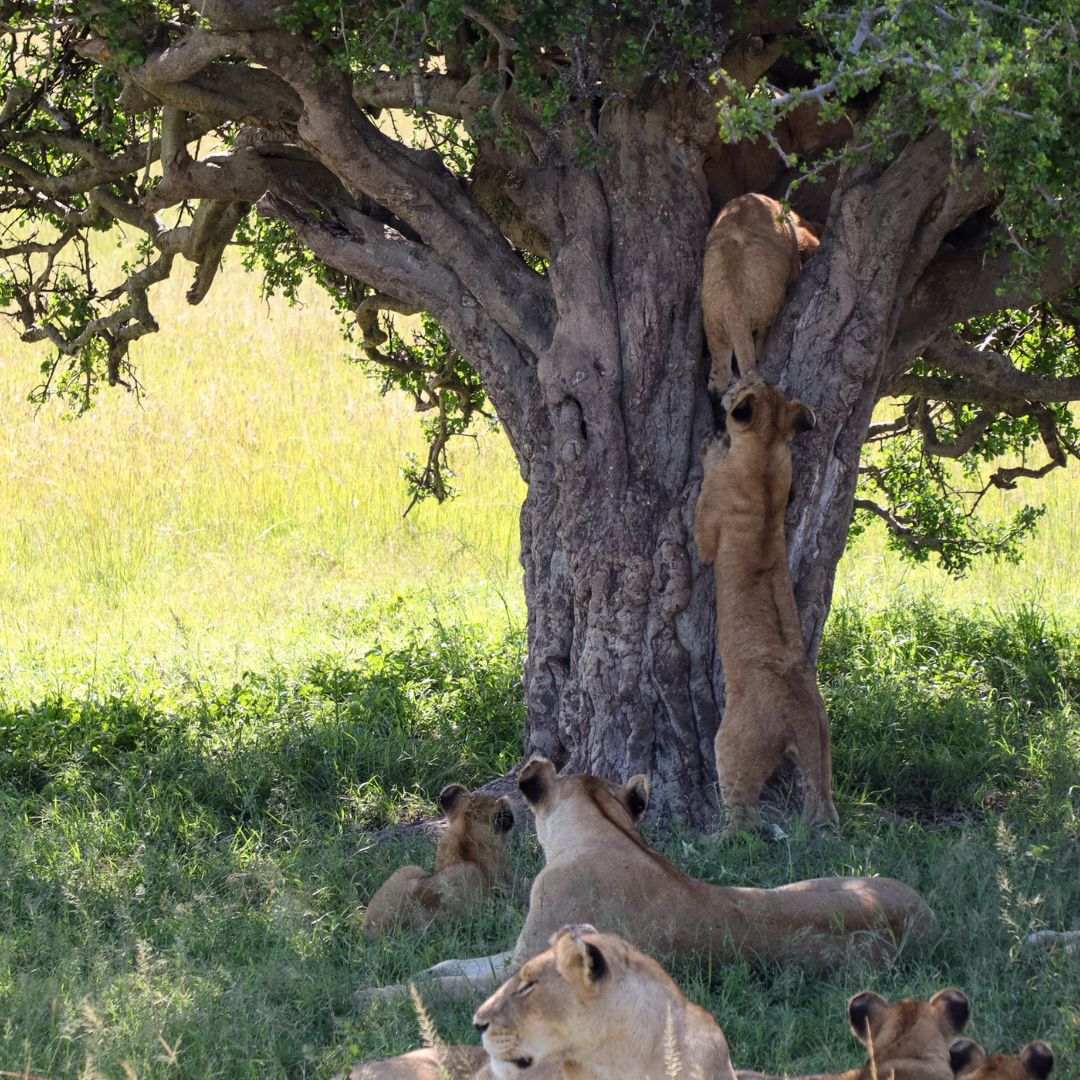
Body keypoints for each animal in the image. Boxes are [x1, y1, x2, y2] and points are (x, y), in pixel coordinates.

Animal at [693, 376, 837, 835]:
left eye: (744, 384)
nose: (728, 384)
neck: (767, 447)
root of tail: (802, 711)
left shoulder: (706, 533)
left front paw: (711, 445)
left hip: (733, 744)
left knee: (745, 816)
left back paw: (715, 839)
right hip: (824, 746)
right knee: (822, 798)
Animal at [702, 193, 823, 395]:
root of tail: (733, 306)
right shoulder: (795, 265)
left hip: (713, 322)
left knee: (721, 371)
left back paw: (714, 385)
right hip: (770, 306)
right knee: (761, 339)